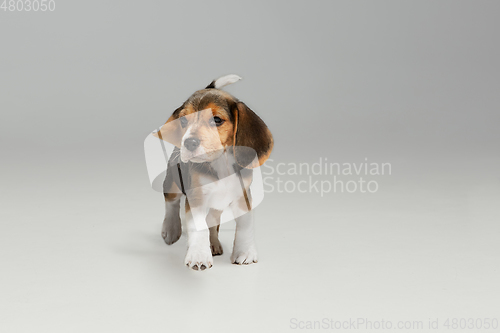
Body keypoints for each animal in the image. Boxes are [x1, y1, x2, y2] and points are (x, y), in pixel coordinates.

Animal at [156, 74, 274, 268]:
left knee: (212, 221)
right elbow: (199, 227)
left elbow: (245, 223)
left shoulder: (243, 195)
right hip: (173, 181)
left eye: (216, 120)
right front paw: (198, 255)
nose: (188, 142)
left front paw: (245, 252)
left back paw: (212, 243)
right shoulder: (196, 198)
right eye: (183, 120)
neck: (221, 163)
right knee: (171, 202)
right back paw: (171, 229)